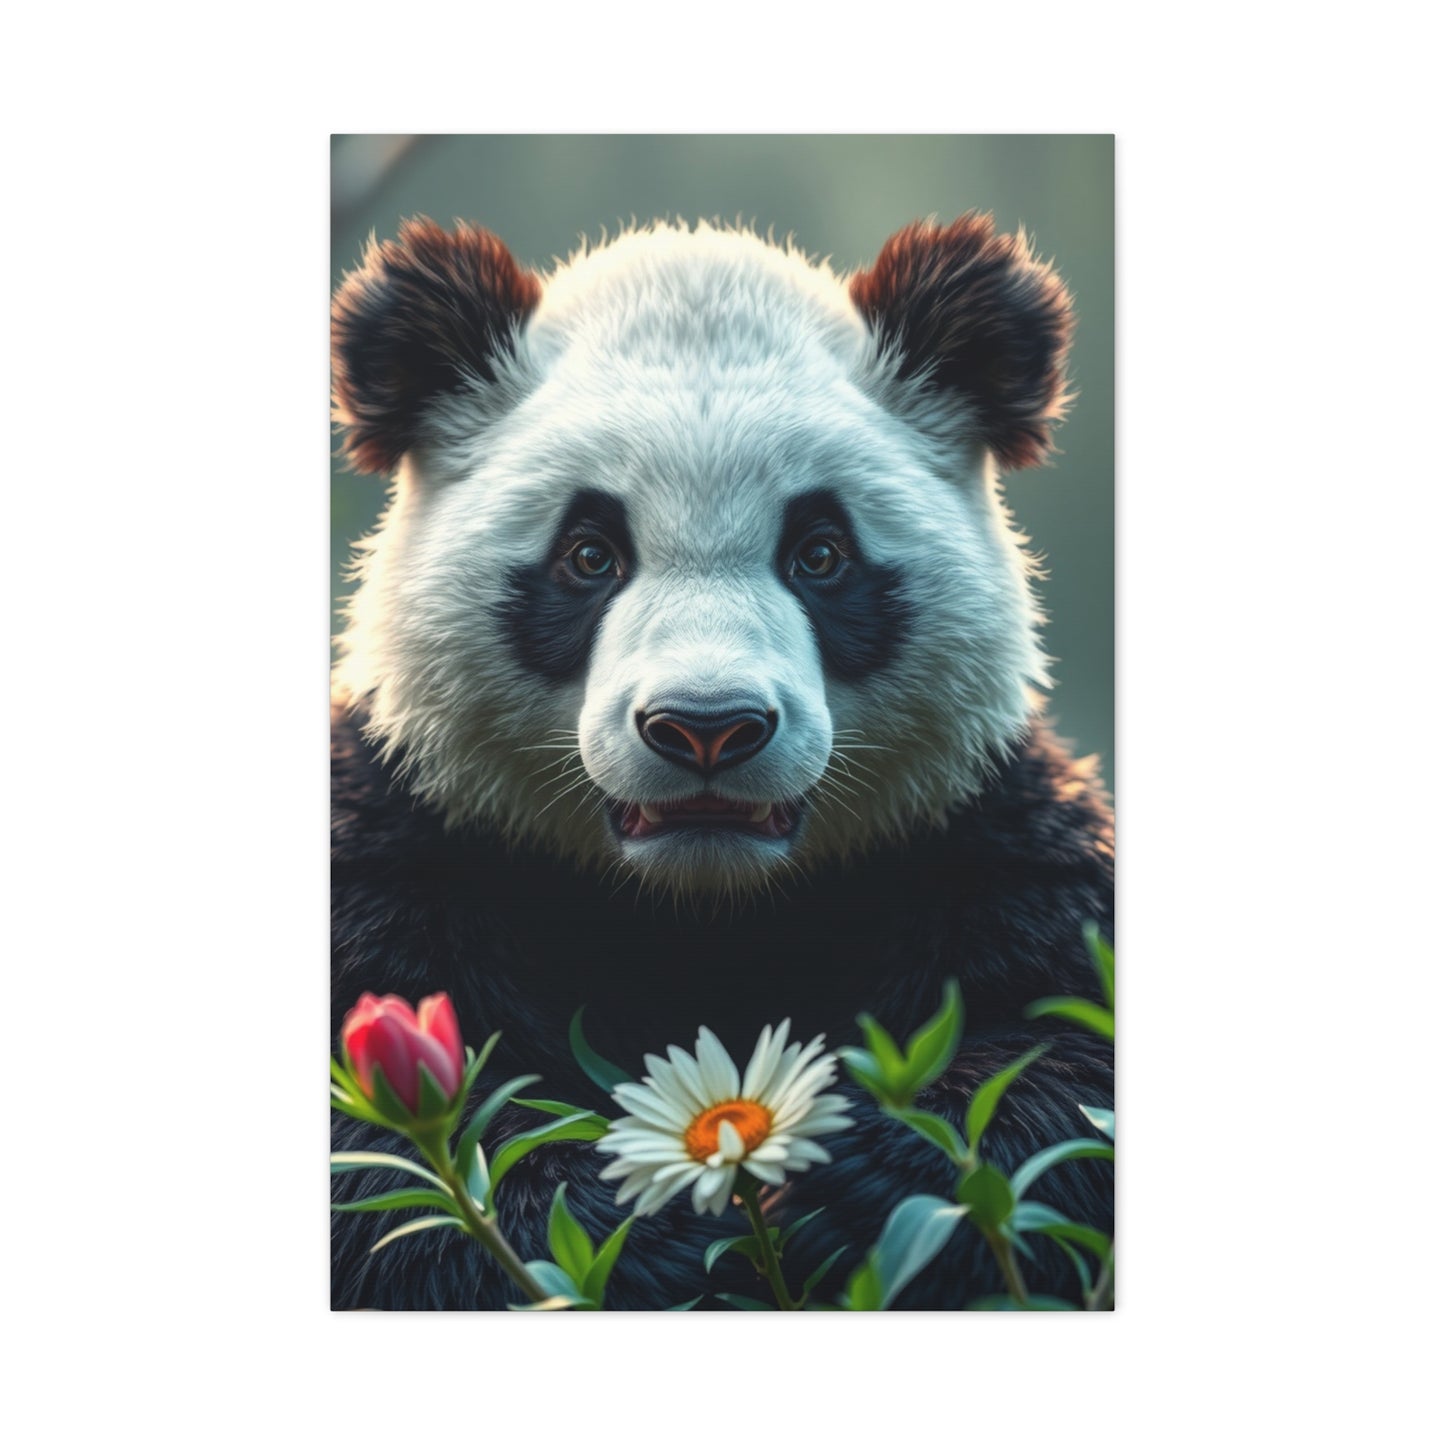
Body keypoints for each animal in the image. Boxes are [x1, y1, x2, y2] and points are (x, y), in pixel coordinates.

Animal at [330, 214, 1113, 1310]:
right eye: (588, 554)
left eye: (820, 553)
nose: (707, 726)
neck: (700, 910)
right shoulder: (402, 835)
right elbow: (383, 1166)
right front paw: (631, 1221)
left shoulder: (982, 832)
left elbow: (1071, 1051)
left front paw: (860, 1188)